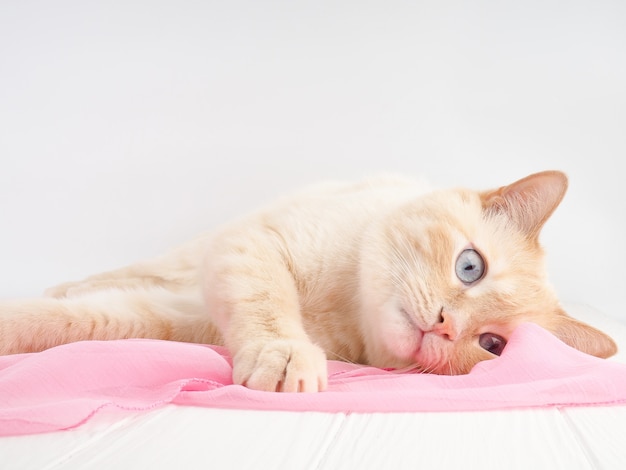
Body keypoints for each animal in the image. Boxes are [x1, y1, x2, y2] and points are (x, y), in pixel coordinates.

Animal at [0, 170, 616, 392]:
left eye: (491, 345)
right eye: (470, 267)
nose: (445, 326)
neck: (342, 308)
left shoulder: (175, 320)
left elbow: (72, 324)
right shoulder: (252, 247)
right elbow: (266, 305)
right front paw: (282, 355)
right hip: (197, 252)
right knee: (131, 272)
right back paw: (70, 281)